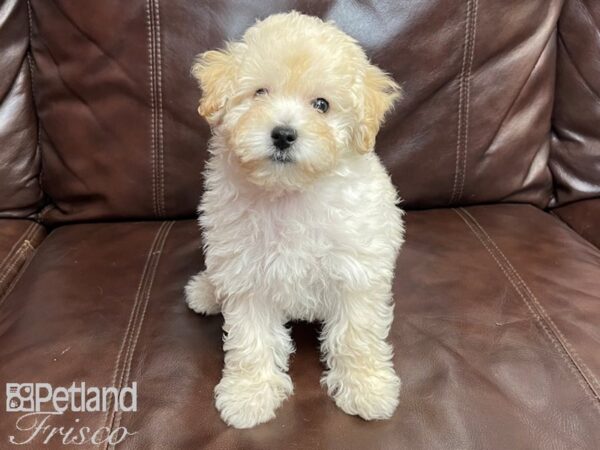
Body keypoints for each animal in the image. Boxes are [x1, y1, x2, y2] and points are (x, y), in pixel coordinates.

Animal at [185, 11, 406, 428]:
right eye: (260, 93)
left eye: (321, 104)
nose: (283, 134)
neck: (289, 193)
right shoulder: (247, 273)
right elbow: (251, 339)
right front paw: (248, 394)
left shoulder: (357, 270)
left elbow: (356, 335)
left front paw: (366, 388)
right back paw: (206, 290)